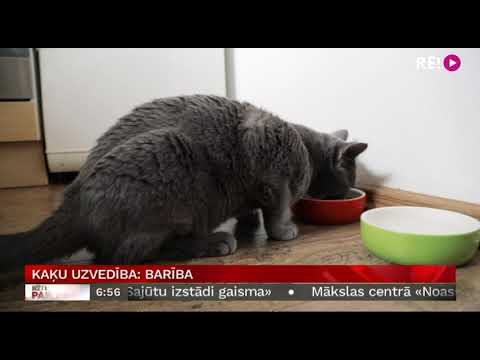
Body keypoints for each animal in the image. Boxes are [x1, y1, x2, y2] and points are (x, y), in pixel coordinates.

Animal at [0, 94, 368, 268]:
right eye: (344, 183)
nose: (347, 193)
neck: (304, 146)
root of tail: (72, 203)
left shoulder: (252, 189)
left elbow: (251, 208)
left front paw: (249, 226)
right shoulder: (273, 174)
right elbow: (277, 208)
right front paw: (285, 230)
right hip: (173, 157)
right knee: (128, 254)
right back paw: (214, 242)